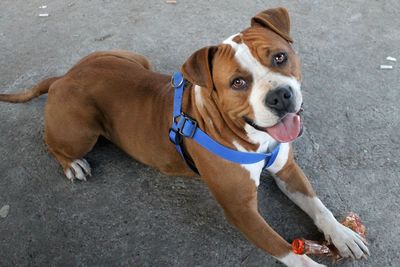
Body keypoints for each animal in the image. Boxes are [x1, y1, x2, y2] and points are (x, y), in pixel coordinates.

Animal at [0, 7, 368, 266]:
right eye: (237, 82)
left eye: (280, 57)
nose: (280, 96)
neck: (251, 136)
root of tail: (64, 76)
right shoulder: (242, 210)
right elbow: (288, 250)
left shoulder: (287, 170)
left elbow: (318, 205)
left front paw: (343, 234)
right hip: (81, 130)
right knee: (50, 142)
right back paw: (72, 164)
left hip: (134, 58)